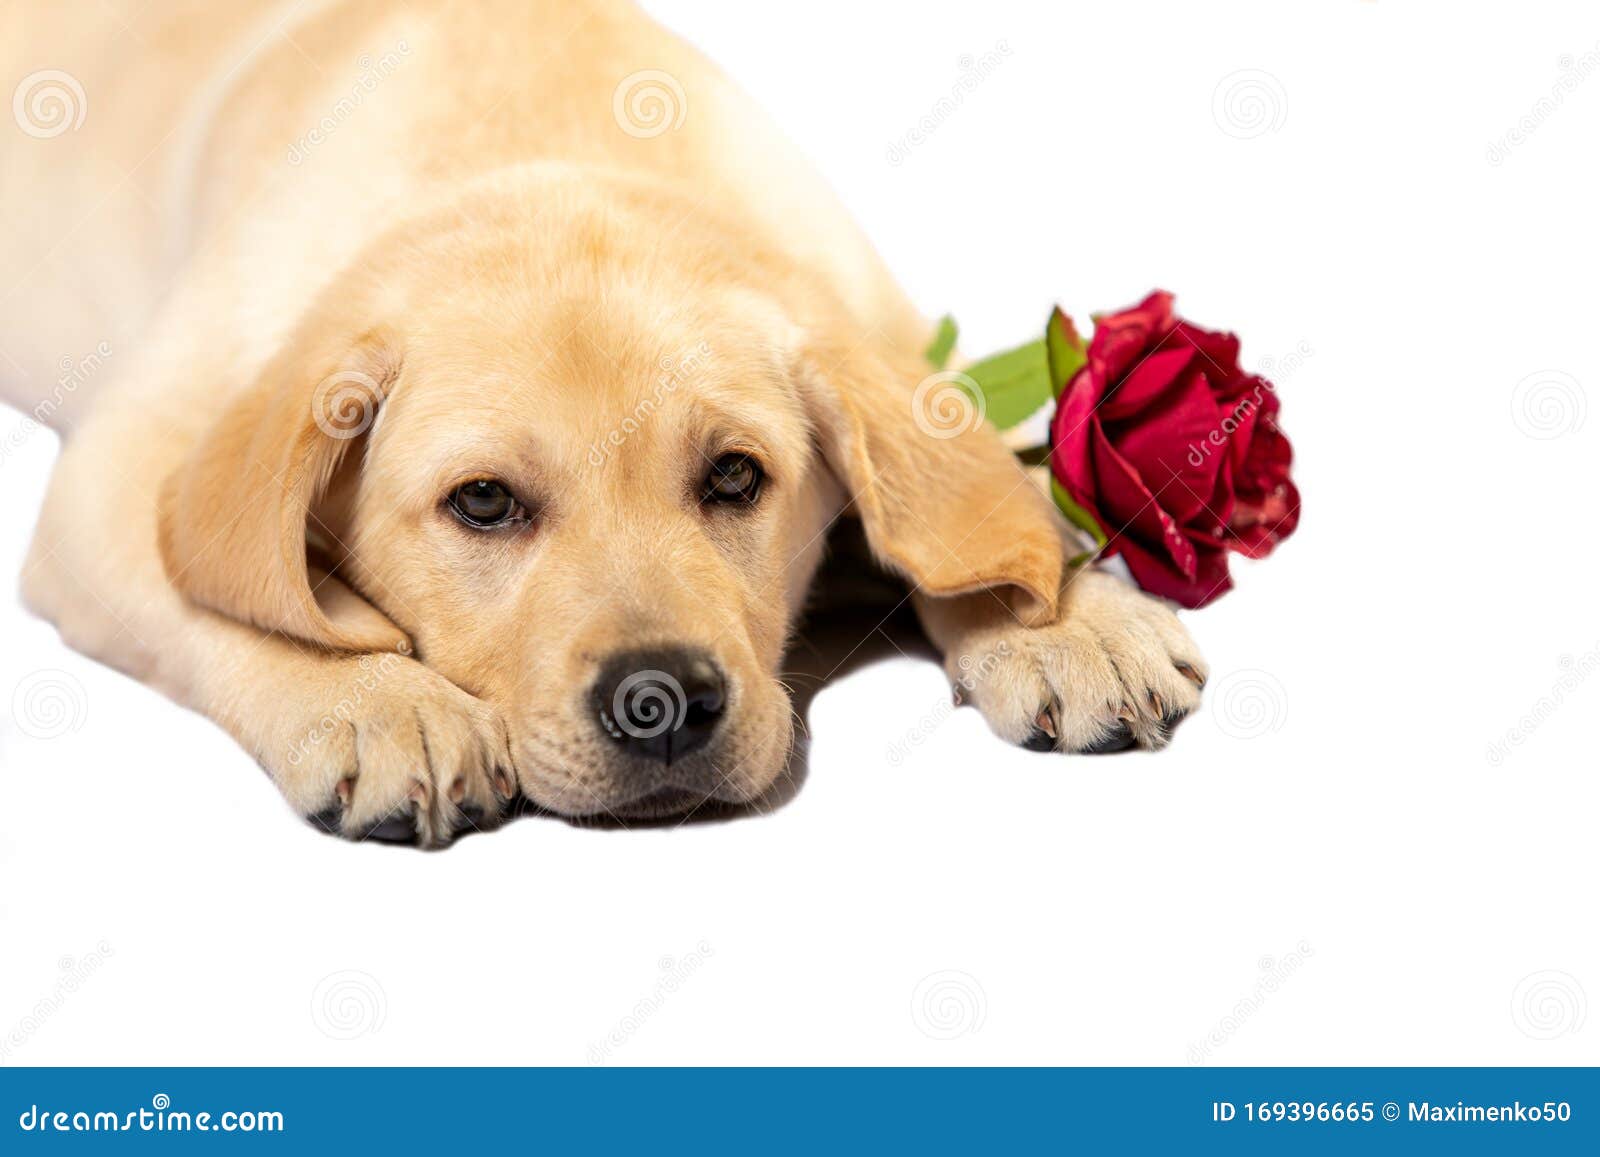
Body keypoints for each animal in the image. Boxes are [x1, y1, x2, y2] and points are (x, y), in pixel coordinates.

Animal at [0, 2, 1203, 851]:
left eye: (735, 477)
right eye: (483, 501)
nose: (661, 702)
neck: (544, 143)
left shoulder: (898, 342)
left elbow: (983, 501)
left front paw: (1071, 617)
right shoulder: (120, 469)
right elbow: (234, 593)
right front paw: (377, 701)